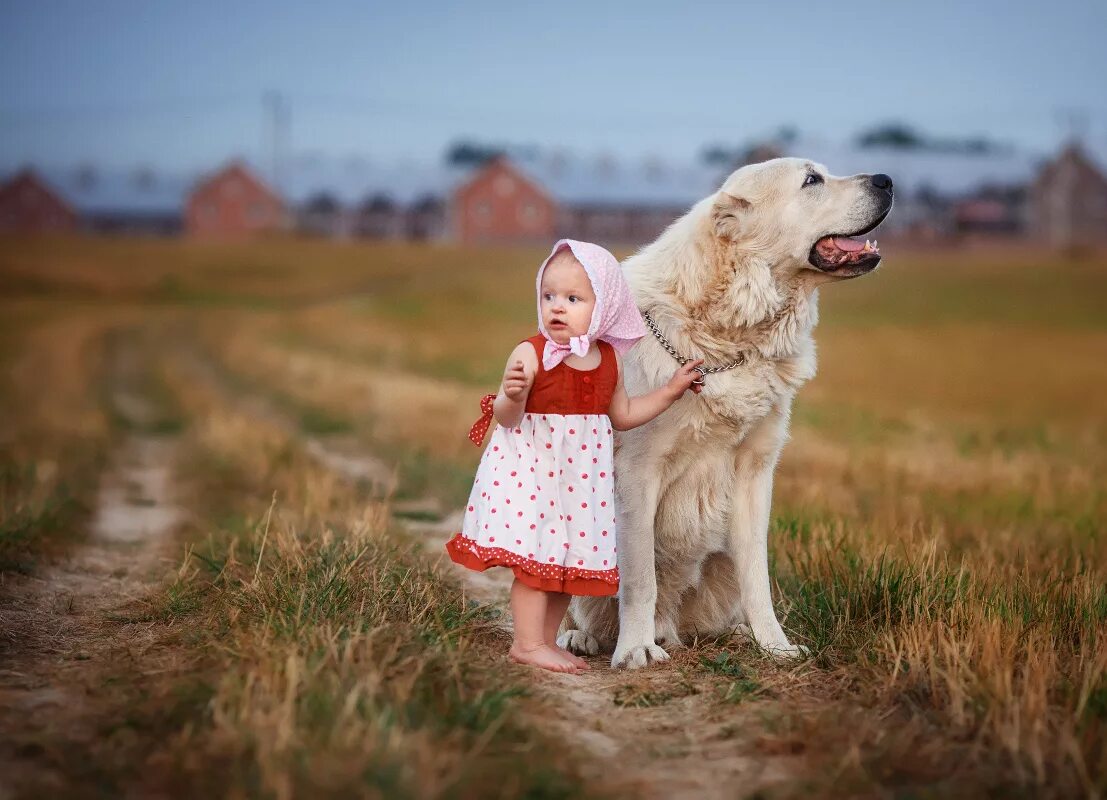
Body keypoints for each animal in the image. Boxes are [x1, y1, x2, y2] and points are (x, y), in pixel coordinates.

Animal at [557, 156, 894, 668]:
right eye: (811, 180)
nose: (887, 180)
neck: (731, 338)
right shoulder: (637, 472)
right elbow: (639, 578)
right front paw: (635, 649)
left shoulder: (755, 474)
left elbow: (758, 577)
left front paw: (774, 645)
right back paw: (580, 639)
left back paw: (731, 634)